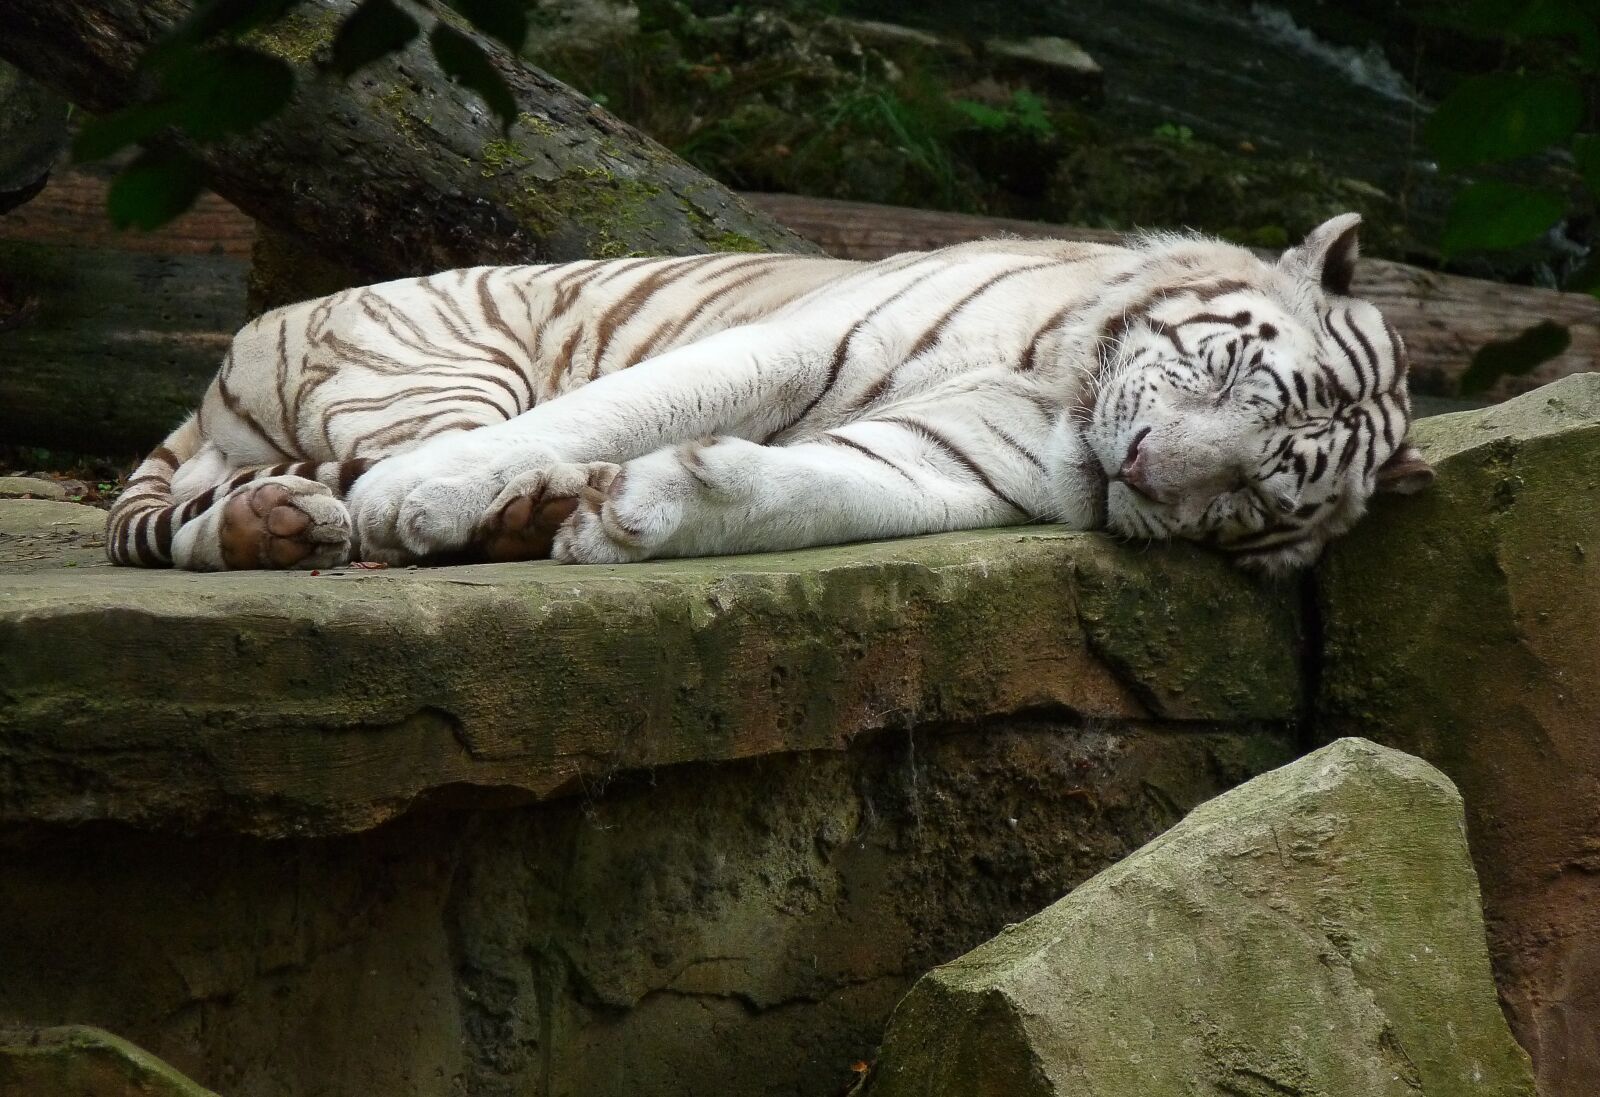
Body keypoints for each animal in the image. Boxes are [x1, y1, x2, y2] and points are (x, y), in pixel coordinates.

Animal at [105, 213, 1432, 576]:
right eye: (1224, 371)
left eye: (1255, 493)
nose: (1147, 468)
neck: (1059, 386)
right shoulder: (805, 335)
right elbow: (619, 407)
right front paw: (426, 497)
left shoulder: (946, 464)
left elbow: (817, 490)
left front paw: (637, 516)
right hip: (438, 359)